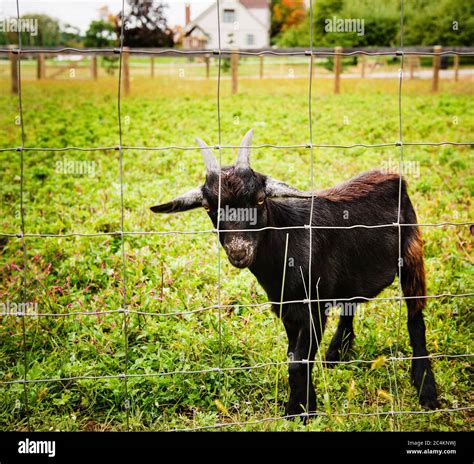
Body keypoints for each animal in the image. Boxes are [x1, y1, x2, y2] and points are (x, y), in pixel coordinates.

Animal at [152, 129, 440, 416]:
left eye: (260, 199)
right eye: (208, 207)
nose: (238, 251)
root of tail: (394, 177)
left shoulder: (313, 307)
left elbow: (299, 361)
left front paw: (301, 411)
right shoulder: (287, 309)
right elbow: (295, 357)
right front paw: (302, 405)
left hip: (411, 254)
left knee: (415, 320)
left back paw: (426, 390)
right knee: (351, 304)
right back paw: (336, 354)